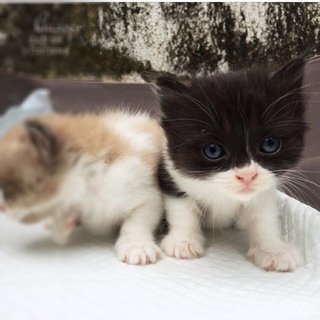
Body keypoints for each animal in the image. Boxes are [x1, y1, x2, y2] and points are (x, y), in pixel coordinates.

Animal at [0, 111, 165, 264]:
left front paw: (137, 246)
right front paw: (62, 225)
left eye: (8, 188)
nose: (2, 208)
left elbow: (136, 222)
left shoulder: (146, 193)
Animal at [158, 56, 308, 272]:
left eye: (270, 144)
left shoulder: (265, 190)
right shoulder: (171, 174)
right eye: (213, 150)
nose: (247, 175)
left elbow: (264, 215)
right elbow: (182, 208)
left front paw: (273, 249)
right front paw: (183, 241)